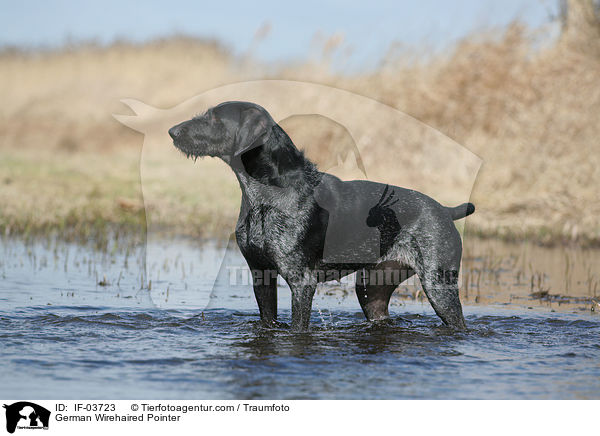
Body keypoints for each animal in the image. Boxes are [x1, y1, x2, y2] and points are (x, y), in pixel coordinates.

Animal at [169, 101, 474, 330]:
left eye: (214, 118)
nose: (172, 131)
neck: (263, 196)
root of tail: (446, 210)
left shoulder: (301, 281)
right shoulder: (261, 275)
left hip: (439, 285)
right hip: (372, 289)